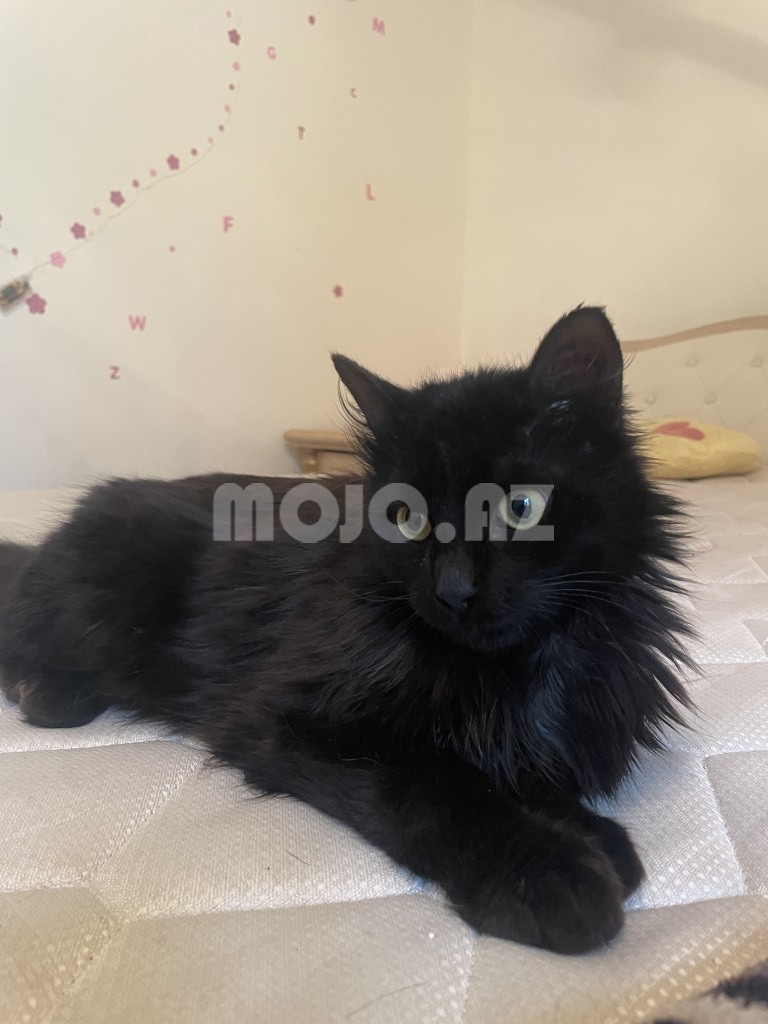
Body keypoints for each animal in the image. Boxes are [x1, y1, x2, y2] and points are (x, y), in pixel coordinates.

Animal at [0, 306, 692, 954]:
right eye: (407, 517)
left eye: (520, 507)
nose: (453, 590)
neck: (516, 669)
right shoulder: (289, 717)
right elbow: (436, 785)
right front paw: (546, 872)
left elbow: (516, 771)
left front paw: (596, 836)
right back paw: (47, 693)